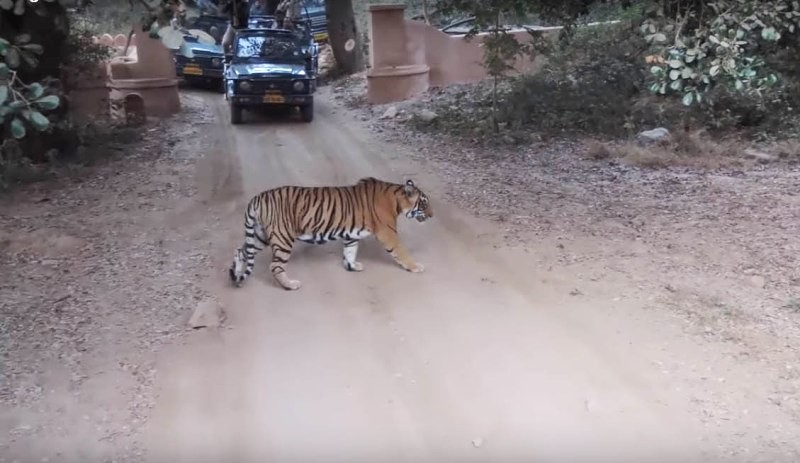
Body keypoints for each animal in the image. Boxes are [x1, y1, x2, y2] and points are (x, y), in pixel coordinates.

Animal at [229, 177, 433, 290]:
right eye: (424, 203)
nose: (432, 215)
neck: (396, 199)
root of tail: (257, 198)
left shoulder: (352, 235)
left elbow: (350, 251)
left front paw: (352, 266)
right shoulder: (388, 233)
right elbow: (402, 252)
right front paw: (416, 267)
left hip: (260, 235)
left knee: (241, 251)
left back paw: (237, 276)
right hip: (282, 238)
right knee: (275, 266)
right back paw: (290, 285)